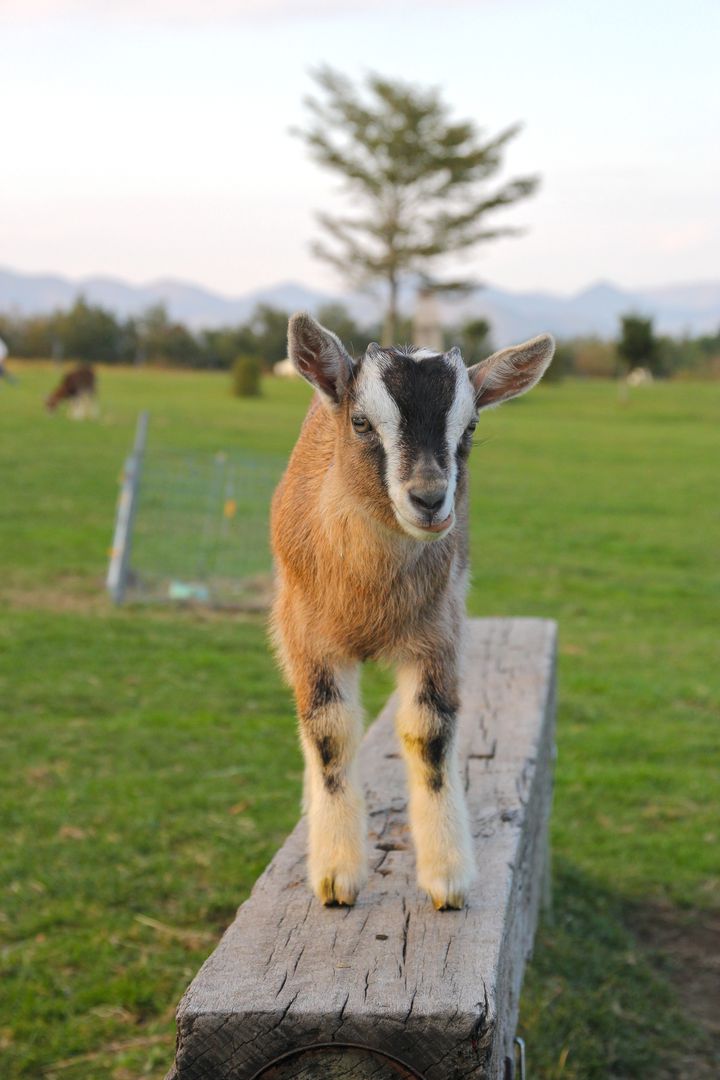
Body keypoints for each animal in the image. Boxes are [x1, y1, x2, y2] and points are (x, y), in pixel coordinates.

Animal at [272, 315, 557, 911]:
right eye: (361, 421)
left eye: (469, 427)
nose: (428, 499)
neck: (368, 599)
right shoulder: (307, 636)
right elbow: (330, 734)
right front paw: (336, 876)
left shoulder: (439, 631)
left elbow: (429, 734)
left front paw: (448, 879)